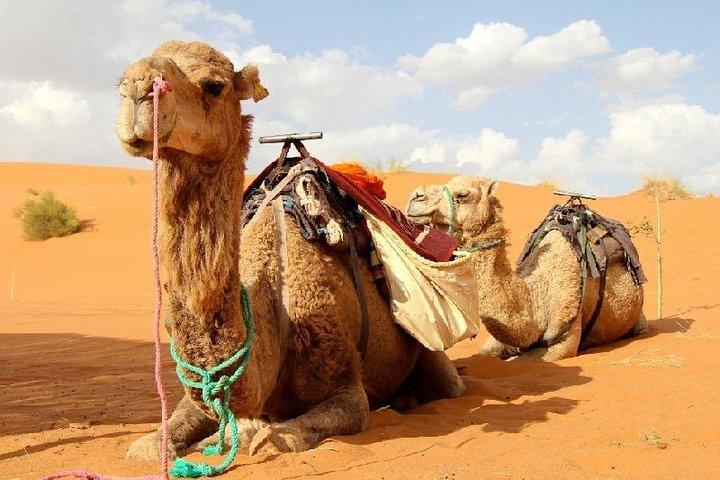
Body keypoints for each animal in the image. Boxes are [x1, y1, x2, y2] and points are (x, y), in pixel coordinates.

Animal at [115, 40, 464, 462]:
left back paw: (409, 398)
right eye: (120, 80)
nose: (136, 87)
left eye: (214, 85)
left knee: (449, 385)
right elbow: (148, 447)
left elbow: (284, 436)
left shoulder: (347, 388)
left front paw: (252, 435)